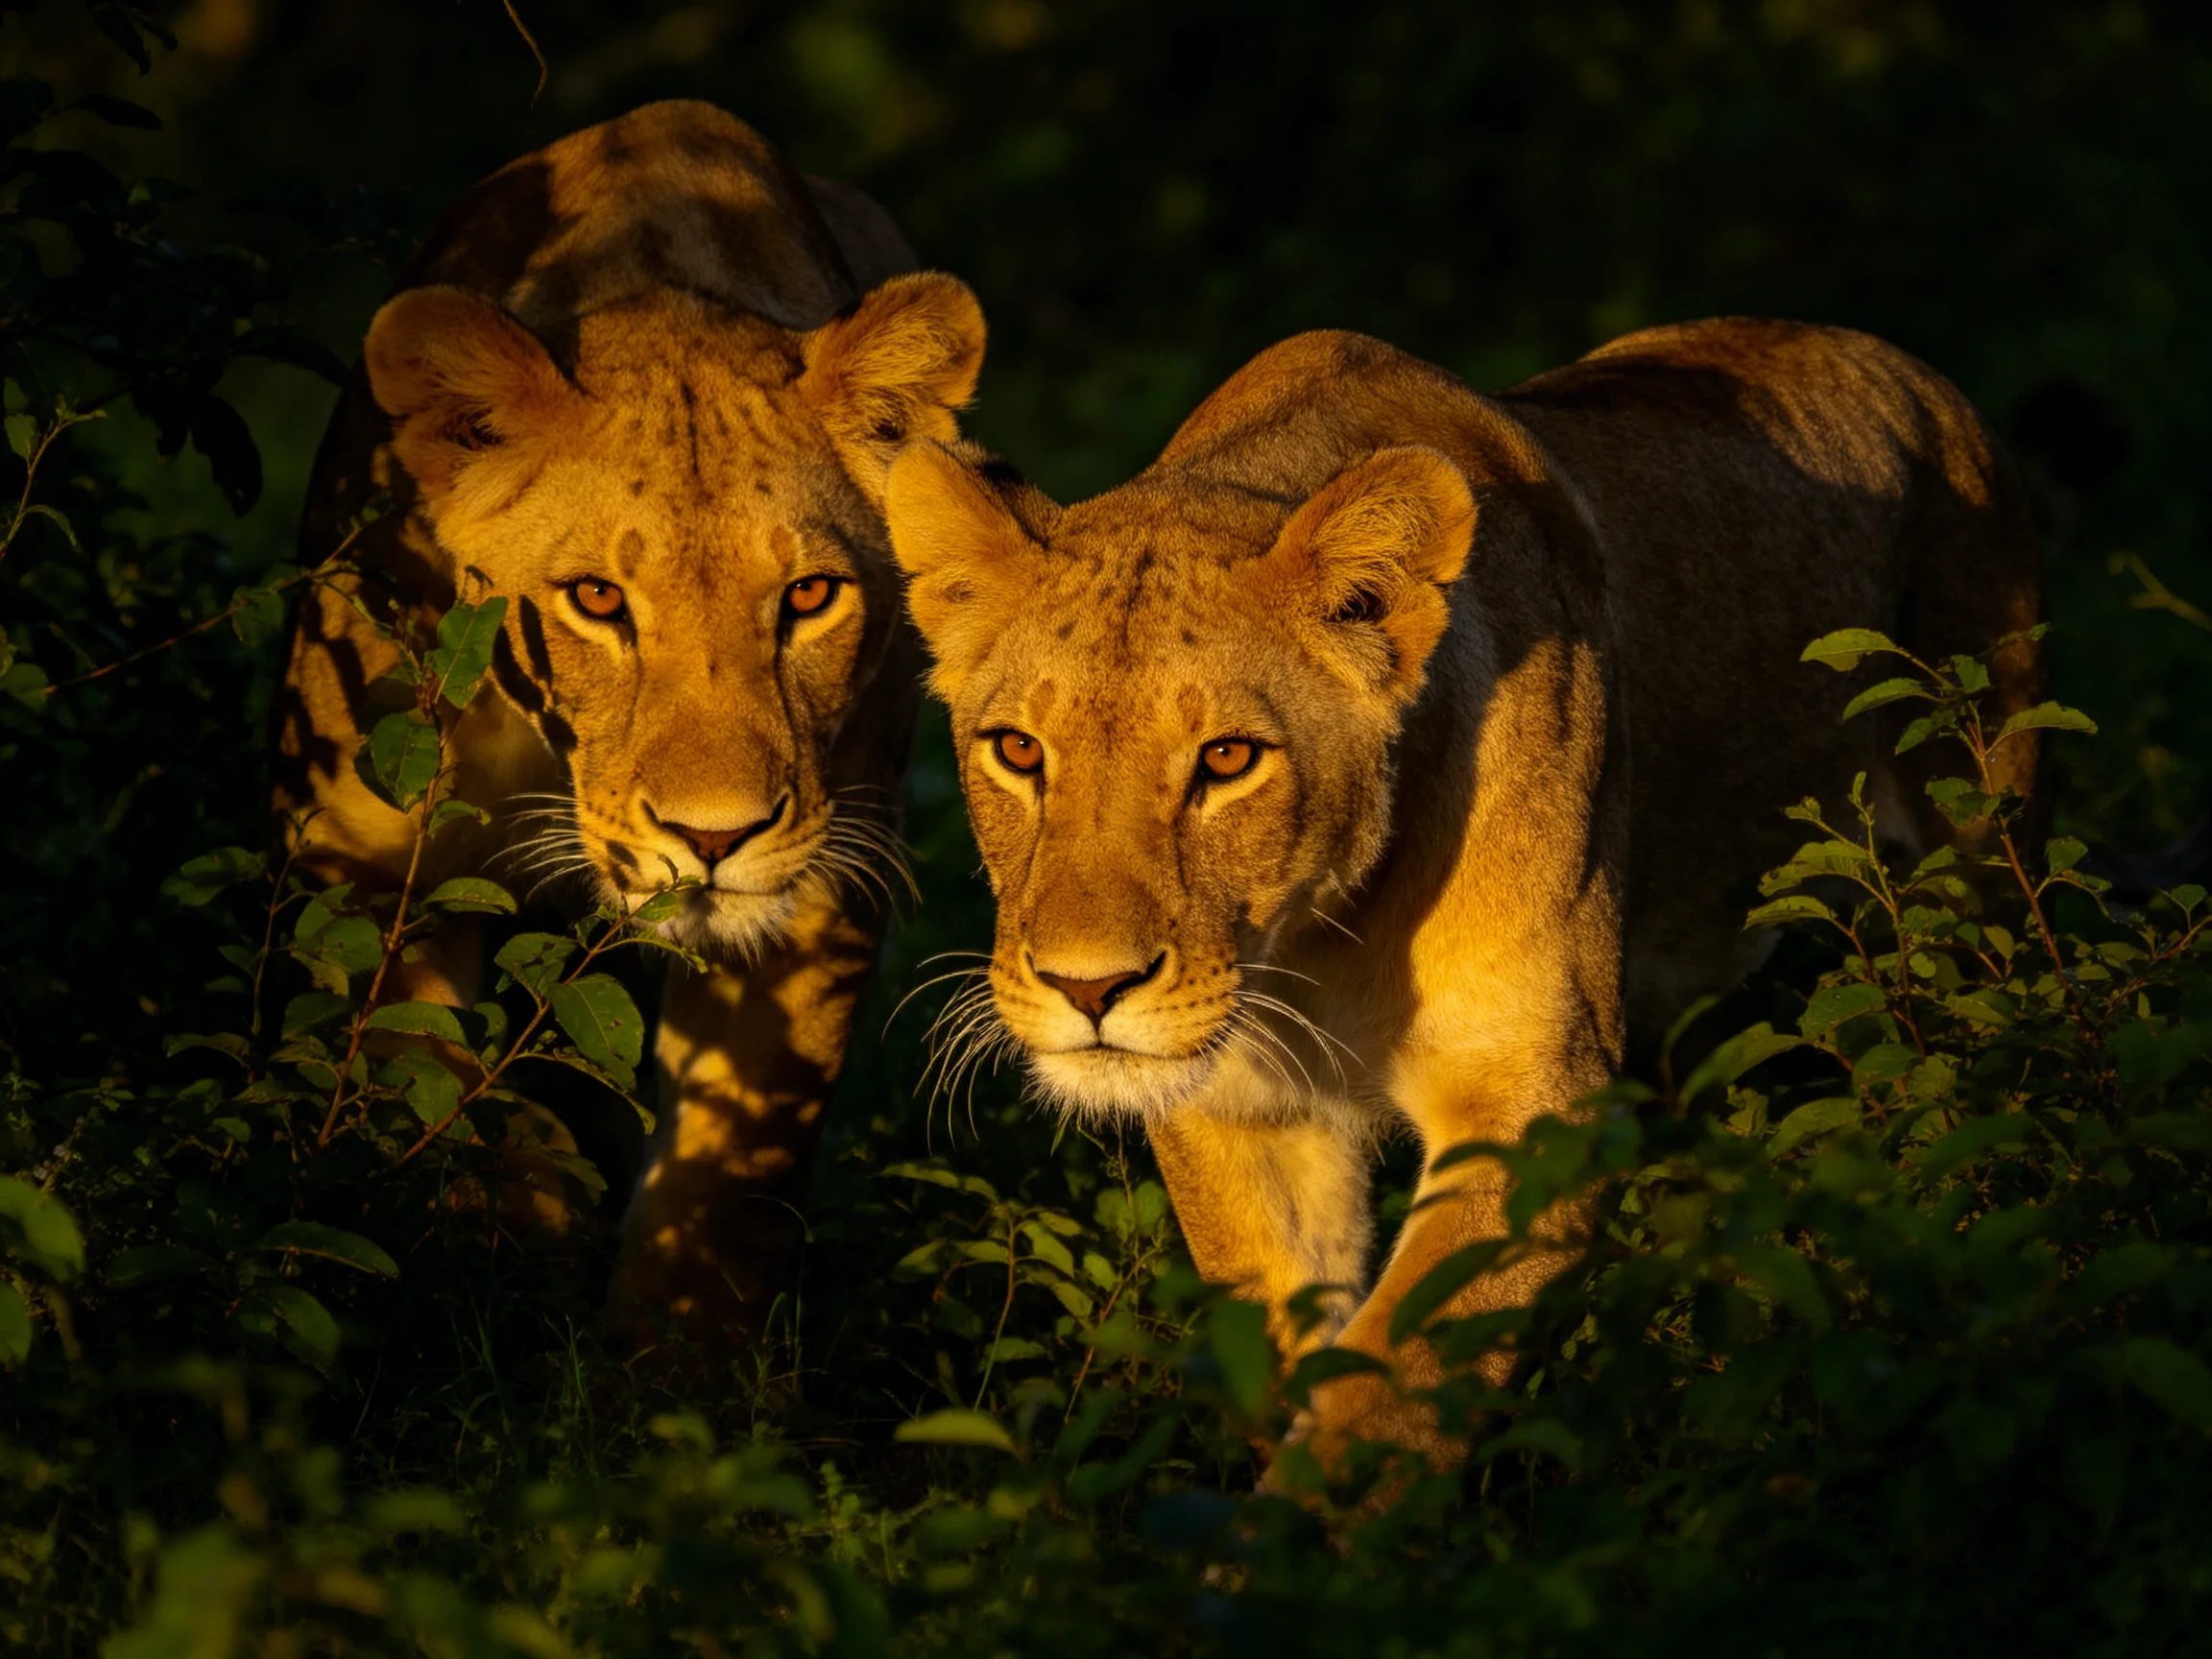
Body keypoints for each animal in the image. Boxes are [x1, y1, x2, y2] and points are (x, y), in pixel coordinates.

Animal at [271, 101, 985, 1330]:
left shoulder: (821, 871)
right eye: (599, 601)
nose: (714, 837)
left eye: (809, 596)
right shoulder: (355, 857)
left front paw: (668, 1364)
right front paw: (510, 1250)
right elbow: (431, 1074)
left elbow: (728, 1177)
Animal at [881, 320, 2043, 1469]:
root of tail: (1905, 366)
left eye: (1226, 758)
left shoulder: (1538, 1098)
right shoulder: (1243, 1109)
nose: (1088, 989)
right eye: (1019, 750)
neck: (1317, 947)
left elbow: (1391, 1387)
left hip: (1982, 858)